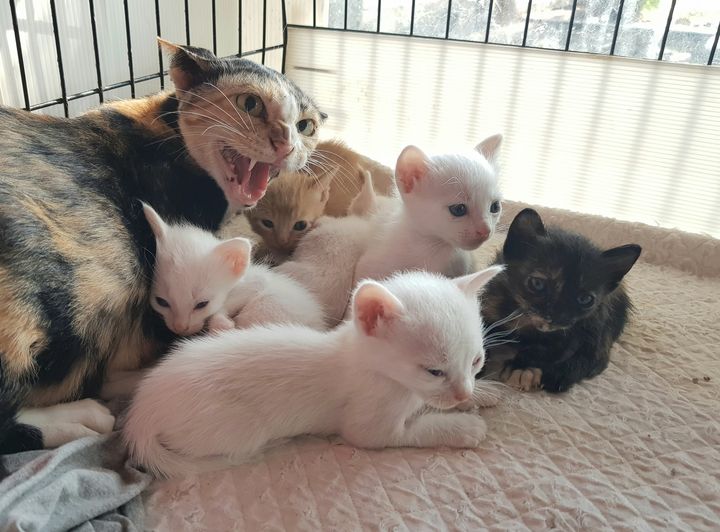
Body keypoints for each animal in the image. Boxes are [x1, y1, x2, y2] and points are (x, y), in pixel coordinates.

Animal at [123, 266, 503, 478]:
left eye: (476, 361)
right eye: (434, 371)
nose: (464, 392)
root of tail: (140, 413)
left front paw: (483, 394)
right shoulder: (368, 428)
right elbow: (414, 430)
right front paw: (463, 427)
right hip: (241, 427)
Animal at [143, 203, 325, 335]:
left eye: (202, 304)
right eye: (161, 302)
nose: (180, 328)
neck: (235, 283)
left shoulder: (256, 281)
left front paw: (221, 322)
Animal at [479, 208, 642, 393]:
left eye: (585, 299)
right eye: (537, 284)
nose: (555, 316)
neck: (526, 321)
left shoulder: (570, 334)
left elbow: (545, 350)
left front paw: (521, 367)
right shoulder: (490, 301)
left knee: (595, 354)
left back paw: (558, 375)